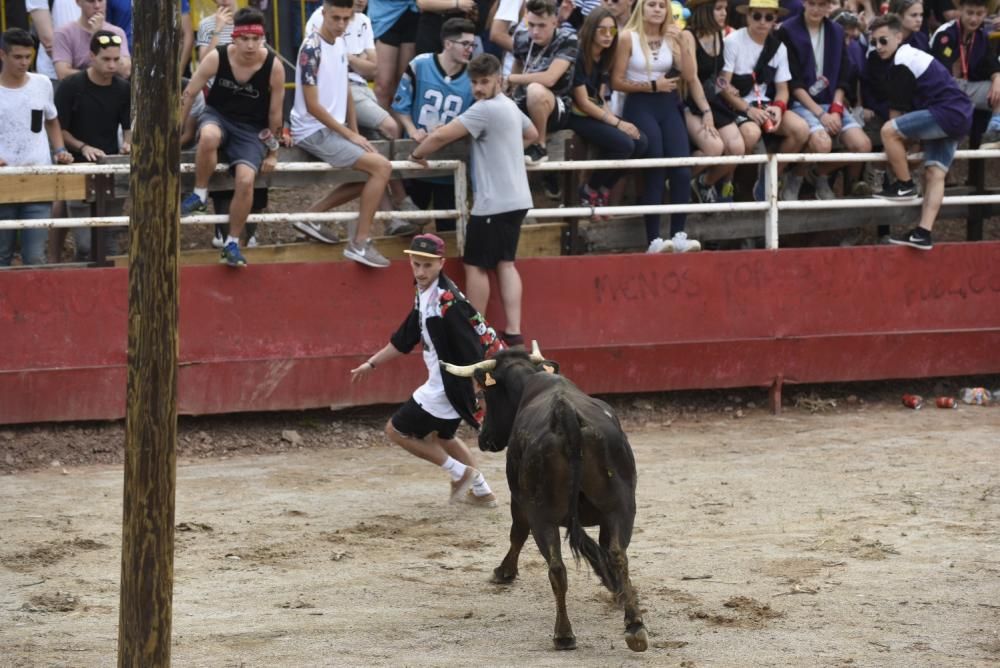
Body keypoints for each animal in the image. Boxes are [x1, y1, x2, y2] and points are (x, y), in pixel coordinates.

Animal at [446, 350, 648, 652]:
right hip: (621, 507)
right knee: (617, 555)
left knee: (556, 567)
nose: (484, 438)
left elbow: (517, 534)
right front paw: (618, 591)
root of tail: (567, 416)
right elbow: (604, 551)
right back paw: (634, 626)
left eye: (485, 395)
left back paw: (563, 634)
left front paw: (504, 572)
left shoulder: (520, 503)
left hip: (543, 516)